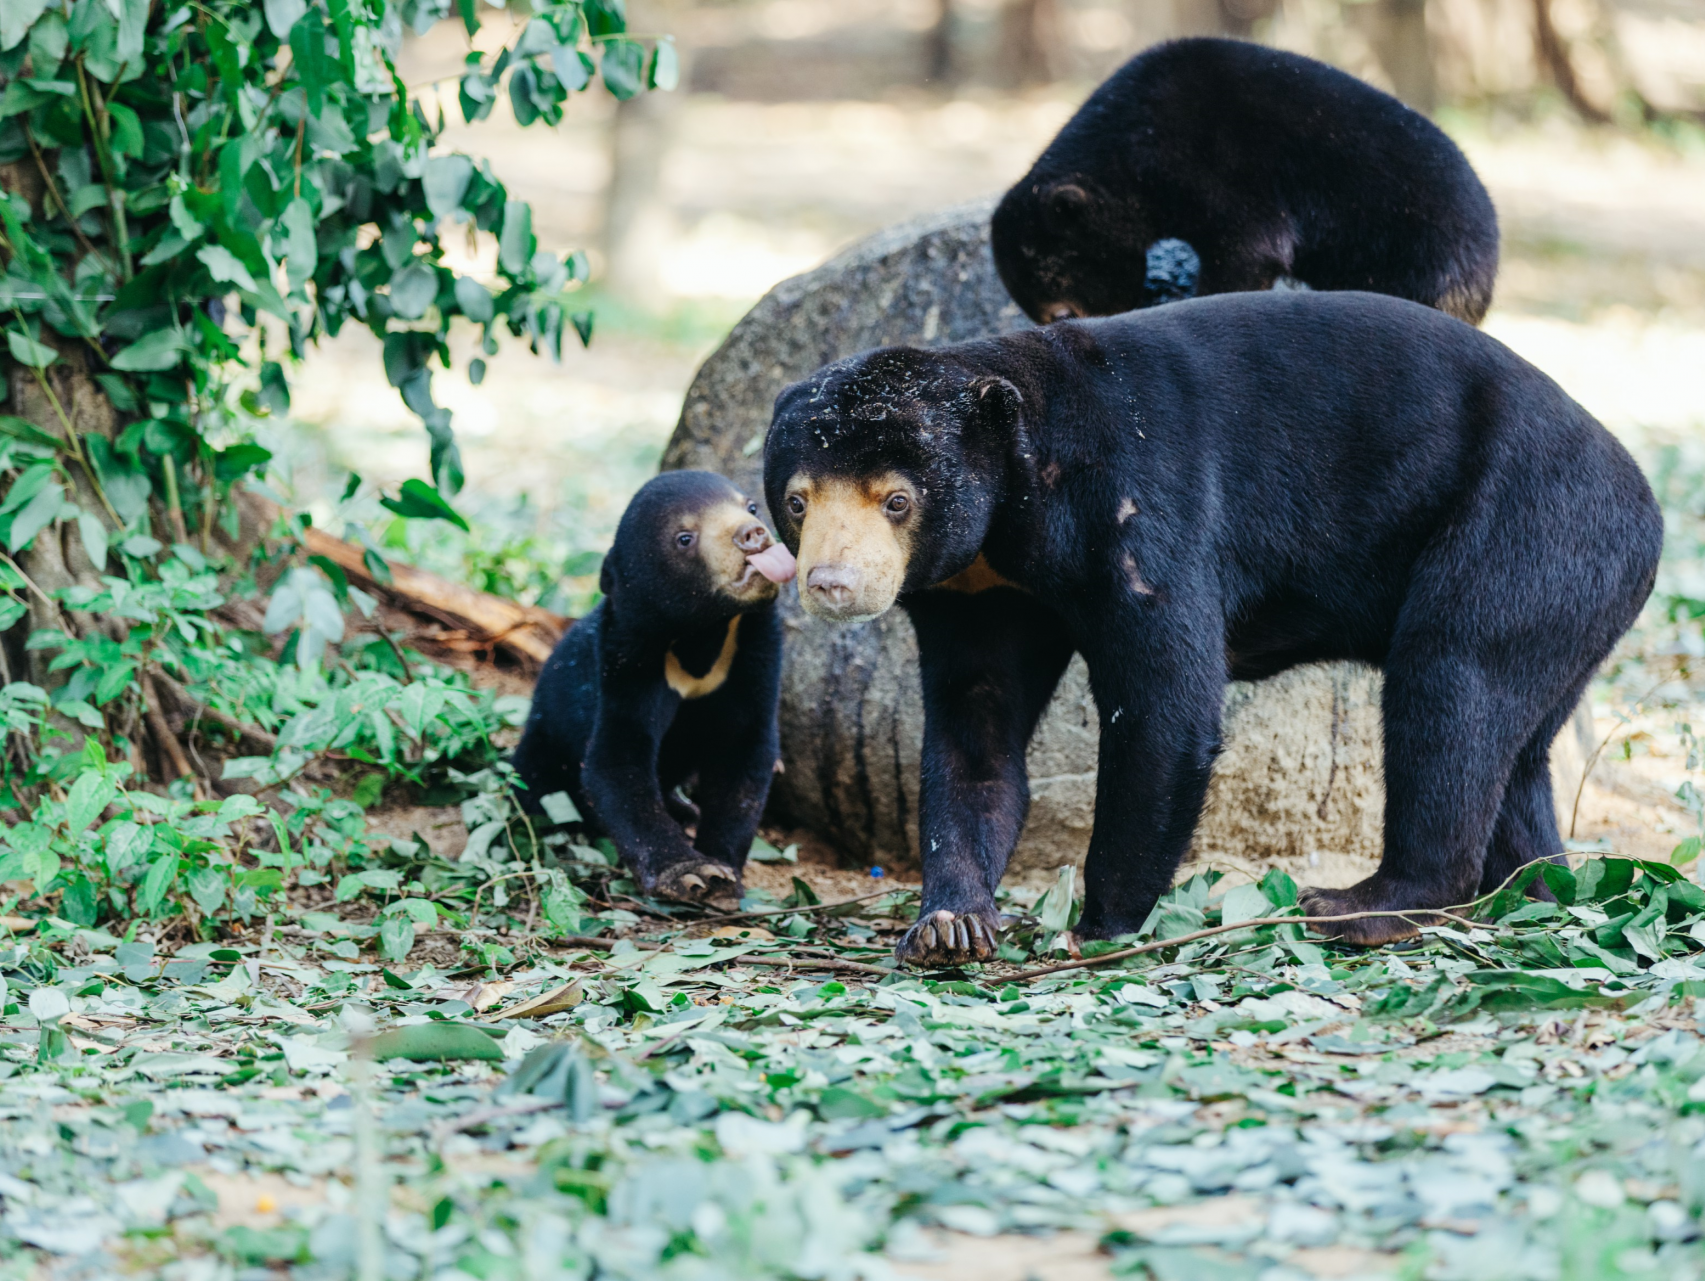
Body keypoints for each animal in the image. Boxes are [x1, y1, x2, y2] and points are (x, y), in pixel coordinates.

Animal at [508, 474, 794, 914]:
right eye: (684, 538)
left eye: (750, 507)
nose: (752, 534)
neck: (701, 634)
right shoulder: (627, 659)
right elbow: (616, 761)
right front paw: (694, 874)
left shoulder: (755, 649)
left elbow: (745, 754)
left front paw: (724, 872)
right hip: (545, 736)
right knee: (534, 783)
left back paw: (683, 807)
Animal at [763, 289, 1664, 968]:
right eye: (798, 500)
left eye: (896, 499)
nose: (831, 583)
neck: (1018, 507)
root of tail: (1643, 504)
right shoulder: (978, 592)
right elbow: (975, 737)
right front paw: (950, 924)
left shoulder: (1139, 511)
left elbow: (1166, 710)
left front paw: (1094, 928)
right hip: (1566, 587)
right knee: (1516, 751)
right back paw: (1538, 899)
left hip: (1530, 528)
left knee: (1450, 684)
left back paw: (1360, 906)